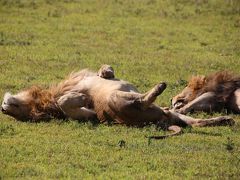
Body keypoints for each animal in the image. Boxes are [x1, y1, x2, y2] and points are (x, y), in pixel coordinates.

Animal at [1, 65, 234, 138]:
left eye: (15, 106)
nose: (3, 109)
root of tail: (161, 120)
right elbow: (68, 103)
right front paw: (82, 98)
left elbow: (106, 69)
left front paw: (105, 72)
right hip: (118, 100)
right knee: (141, 100)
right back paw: (159, 88)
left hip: (175, 115)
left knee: (196, 123)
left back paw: (224, 120)